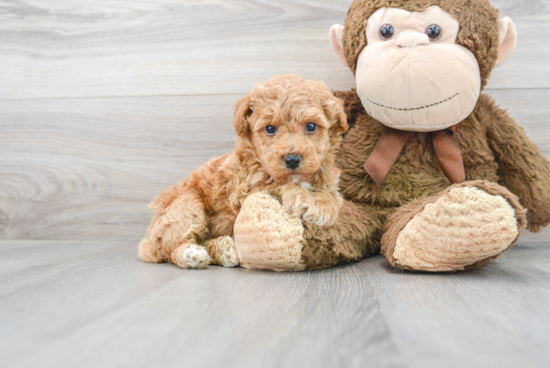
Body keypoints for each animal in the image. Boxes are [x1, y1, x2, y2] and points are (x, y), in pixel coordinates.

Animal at [140, 75, 352, 270]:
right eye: (270, 129)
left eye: (311, 126)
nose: (292, 159)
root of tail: (148, 239)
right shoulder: (243, 190)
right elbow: (276, 184)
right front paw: (307, 200)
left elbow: (332, 196)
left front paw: (325, 205)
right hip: (187, 204)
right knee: (171, 248)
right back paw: (192, 254)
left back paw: (225, 250)